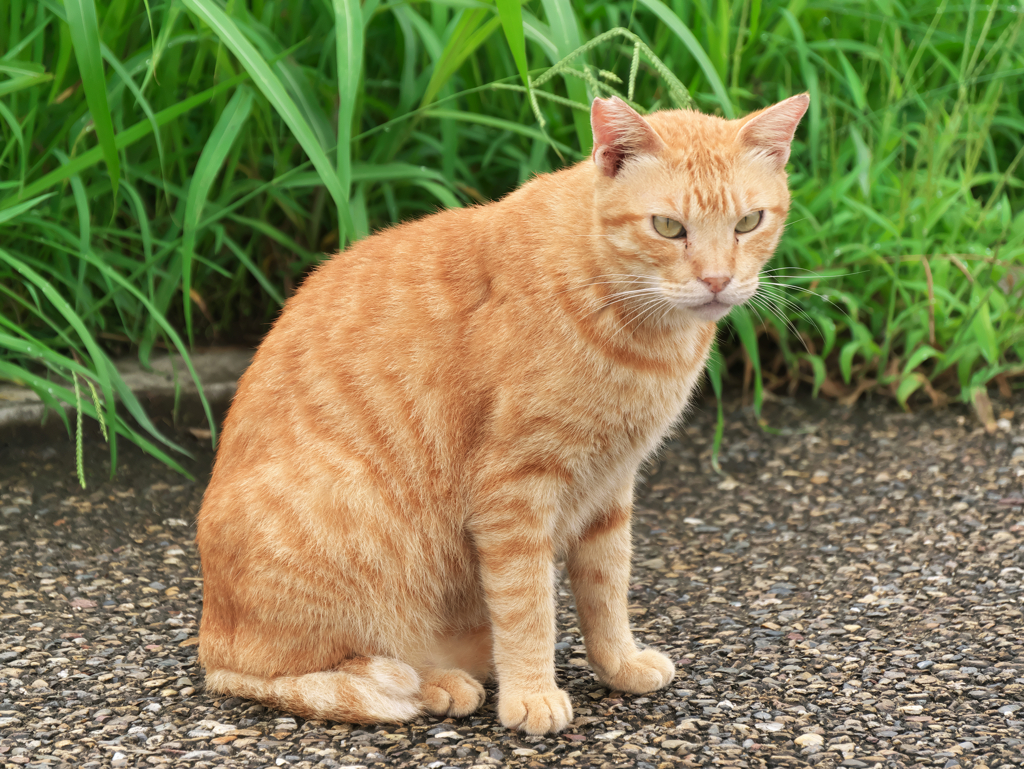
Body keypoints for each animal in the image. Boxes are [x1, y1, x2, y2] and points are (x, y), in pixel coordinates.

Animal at [197, 93, 806, 737]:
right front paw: (533, 693)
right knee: (289, 673)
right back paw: (431, 685)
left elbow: (606, 588)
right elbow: (527, 605)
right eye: (668, 227)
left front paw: (618, 664)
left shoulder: (612, 487)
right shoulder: (513, 493)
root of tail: (210, 634)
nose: (717, 280)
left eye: (749, 223)